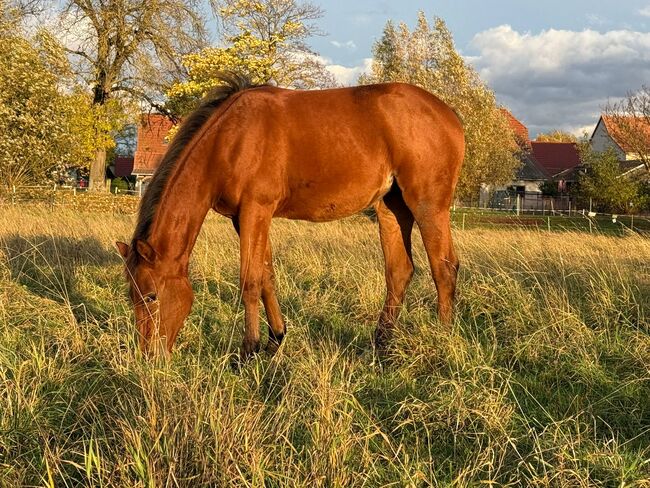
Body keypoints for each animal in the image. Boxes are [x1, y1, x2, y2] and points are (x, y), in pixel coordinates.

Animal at [116, 73, 465, 359]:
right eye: (131, 295)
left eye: (151, 296)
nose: (149, 357)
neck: (229, 139)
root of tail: (450, 116)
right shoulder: (245, 218)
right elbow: (266, 276)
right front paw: (275, 339)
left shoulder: (256, 210)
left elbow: (250, 280)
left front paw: (248, 350)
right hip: (391, 208)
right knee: (399, 271)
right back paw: (380, 343)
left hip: (428, 205)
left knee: (444, 268)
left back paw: (443, 338)